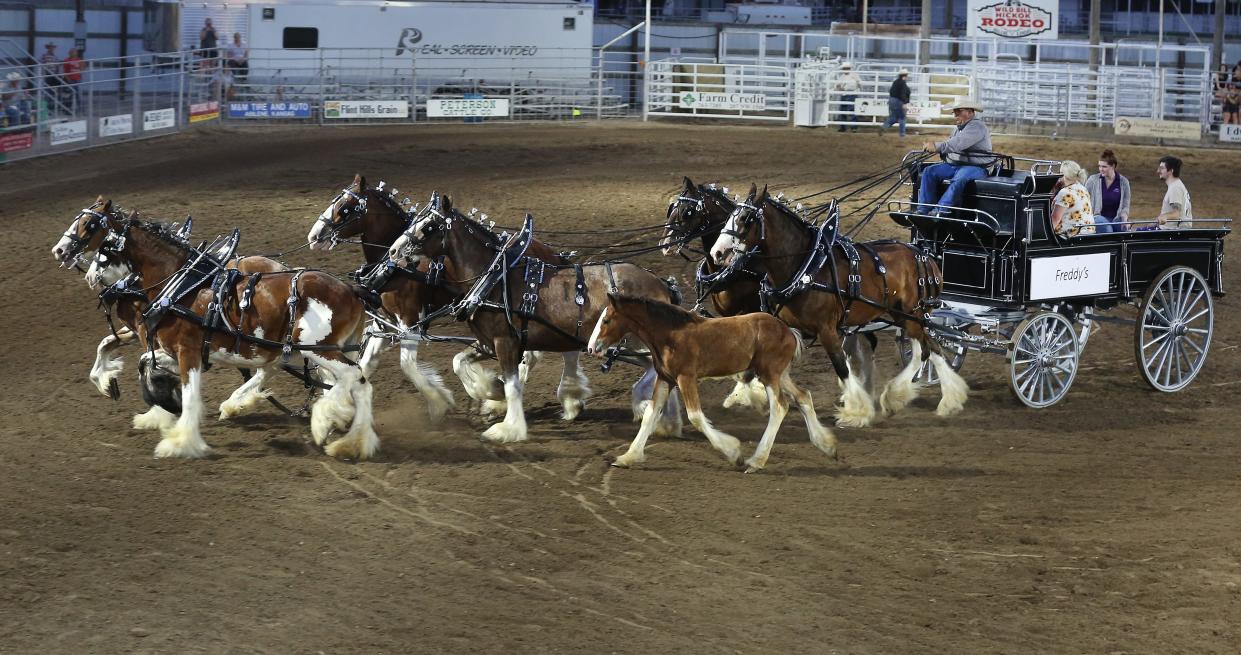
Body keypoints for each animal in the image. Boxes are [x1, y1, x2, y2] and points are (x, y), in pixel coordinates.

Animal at [585, 294, 838, 473]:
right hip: (780, 374)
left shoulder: (686, 378)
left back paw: (755, 461)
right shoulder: (666, 379)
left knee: (779, 407)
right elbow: (650, 415)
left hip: (769, 374)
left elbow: (696, 417)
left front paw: (733, 452)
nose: (591, 347)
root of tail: (789, 331)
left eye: (606, 320)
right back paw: (827, 445)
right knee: (803, 396)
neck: (669, 335)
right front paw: (627, 457)